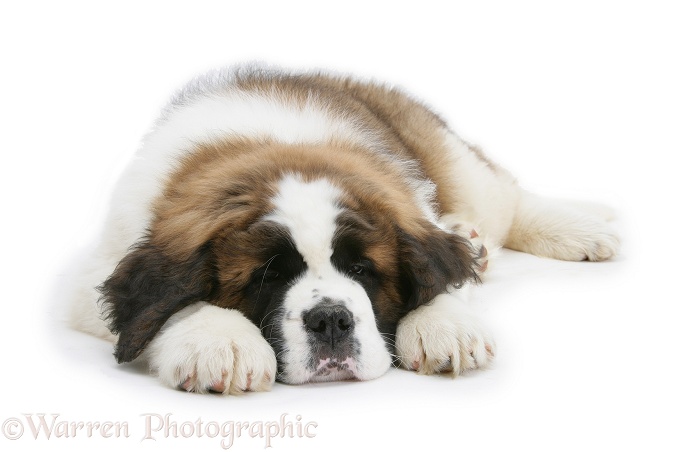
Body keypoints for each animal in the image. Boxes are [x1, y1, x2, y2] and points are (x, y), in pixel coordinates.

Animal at [70, 65, 620, 394]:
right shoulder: (90, 275)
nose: (332, 320)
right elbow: (162, 308)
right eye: (268, 276)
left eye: (362, 269)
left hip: (453, 161)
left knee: (508, 194)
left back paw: (582, 229)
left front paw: (444, 324)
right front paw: (217, 340)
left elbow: (439, 275)